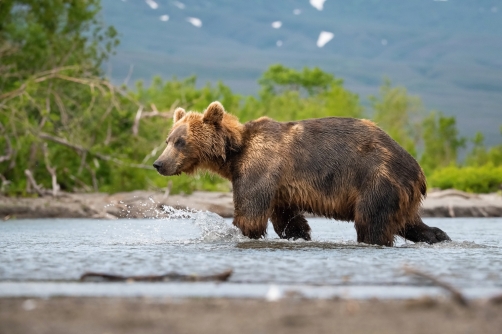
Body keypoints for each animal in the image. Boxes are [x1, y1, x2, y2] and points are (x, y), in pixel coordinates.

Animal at [153, 100, 452, 247]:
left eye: (181, 141)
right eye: (168, 139)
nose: (158, 163)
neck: (234, 154)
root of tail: (418, 171)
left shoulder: (259, 168)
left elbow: (250, 214)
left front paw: (235, 232)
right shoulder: (280, 188)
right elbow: (287, 219)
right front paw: (300, 234)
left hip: (378, 179)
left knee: (372, 223)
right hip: (401, 195)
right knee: (412, 224)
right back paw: (440, 237)